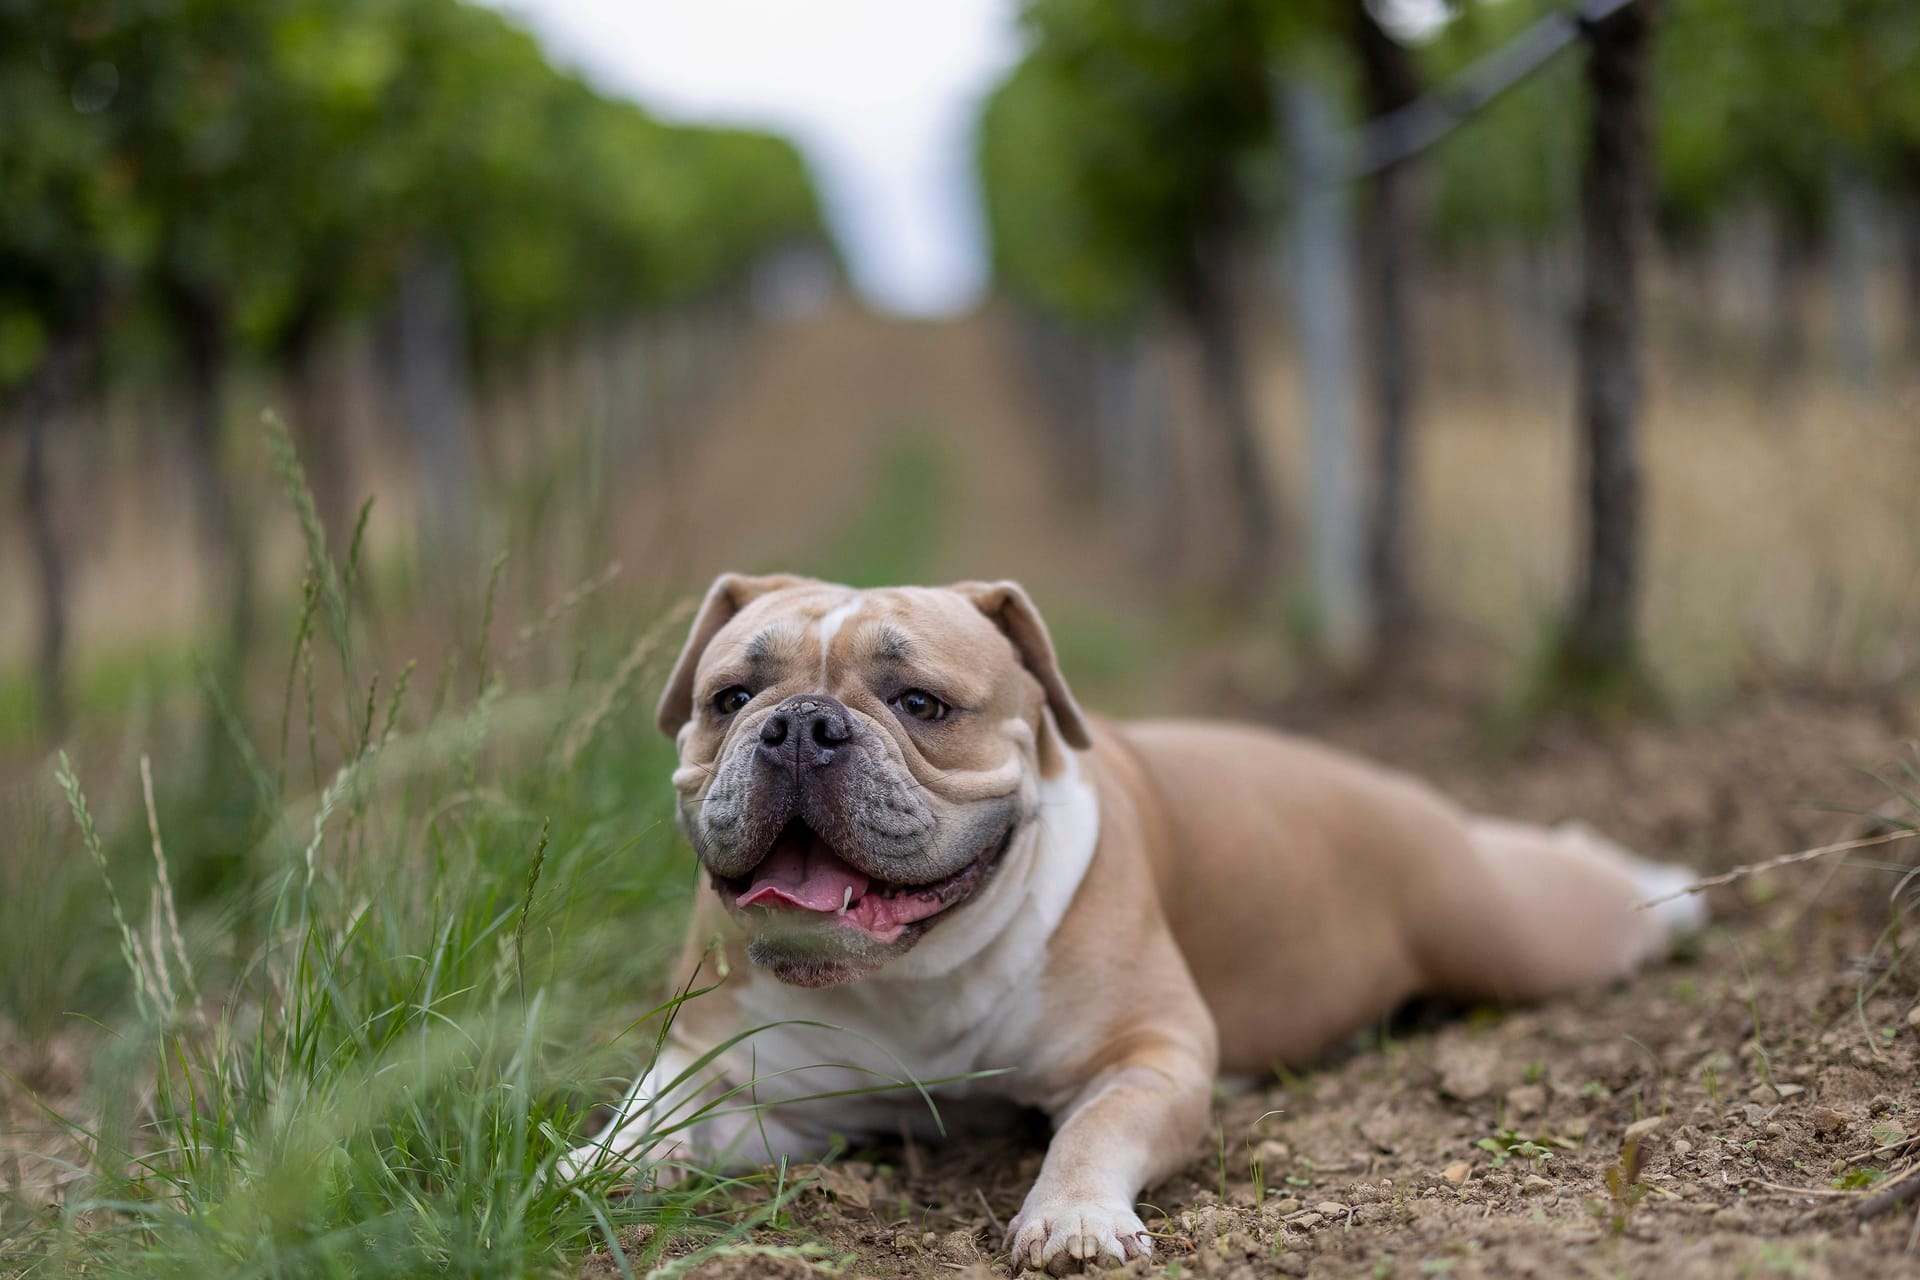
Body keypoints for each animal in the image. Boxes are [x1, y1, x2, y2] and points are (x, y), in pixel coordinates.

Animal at [560, 579, 1704, 1274]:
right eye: (730, 697)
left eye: (921, 703)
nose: (798, 724)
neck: (915, 974)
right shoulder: (767, 1086)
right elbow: (665, 1101)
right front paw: (602, 1157)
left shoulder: (1150, 1055)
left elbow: (1094, 1127)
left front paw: (1070, 1216)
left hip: (1516, 929)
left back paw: (1673, 883)